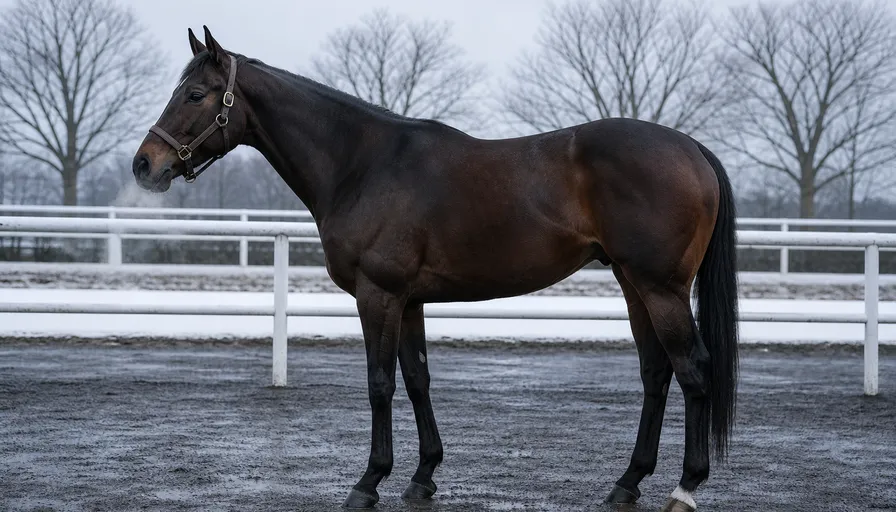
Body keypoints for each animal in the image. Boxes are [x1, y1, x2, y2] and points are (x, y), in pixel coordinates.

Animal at [132, 26, 739, 512]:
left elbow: (380, 382)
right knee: (656, 373)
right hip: (634, 285)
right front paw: (422, 477)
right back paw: (627, 482)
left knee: (693, 370)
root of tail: (691, 149)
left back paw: (685, 488)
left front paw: (368, 482)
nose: (144, 165)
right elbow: (418, 378)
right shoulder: (410, 300)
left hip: (661, 289)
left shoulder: (377, 294)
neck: (362, 163)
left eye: (195, 94)